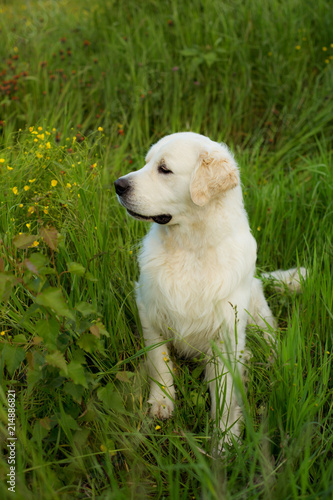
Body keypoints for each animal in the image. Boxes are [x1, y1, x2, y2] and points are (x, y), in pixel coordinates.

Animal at [115, 132, 306, 450]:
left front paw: (226, 439)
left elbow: (225, 394)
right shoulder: (149, 310)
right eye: (146, 162)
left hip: (257, 312)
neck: (190, 250)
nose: (118, 185)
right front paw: (161, 402)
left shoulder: (226, 333)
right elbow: (159, 362)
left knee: (269, 341)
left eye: (164, 169)